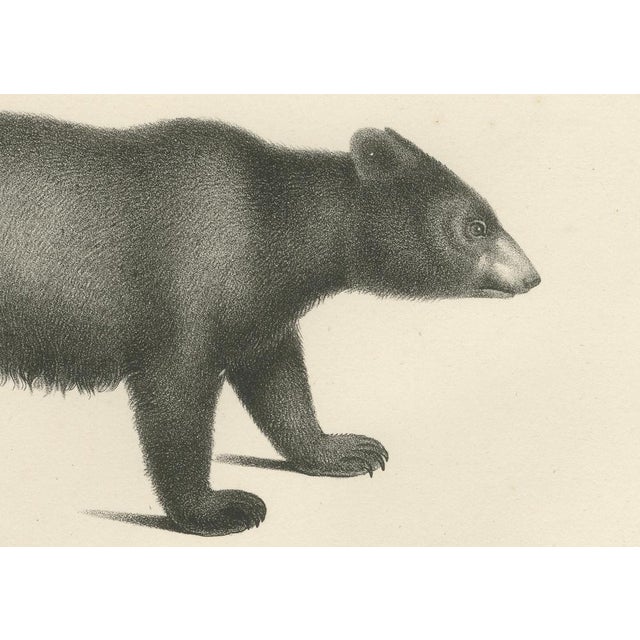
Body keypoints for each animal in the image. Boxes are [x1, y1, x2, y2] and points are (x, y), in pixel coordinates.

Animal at [0, 113, 540, 536]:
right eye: (475, 226)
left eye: (488, 217)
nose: (533, 276)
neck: (274, 225)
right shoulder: (190, 277)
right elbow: (176, 392)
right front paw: (220, 508)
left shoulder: (259, 303)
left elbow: (278, 378)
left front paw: (346, 450)